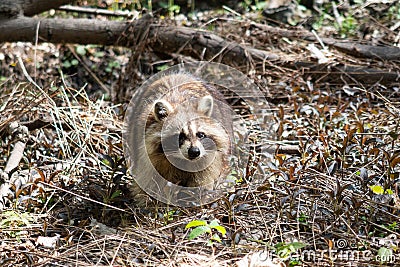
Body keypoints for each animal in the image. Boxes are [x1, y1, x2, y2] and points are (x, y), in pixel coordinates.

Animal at [123, 72, 233, 206]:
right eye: (180, 136)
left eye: (200, 134)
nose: (194, 152)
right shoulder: (147, 154)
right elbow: (147, 180)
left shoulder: (209, 156)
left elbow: (203, 178)